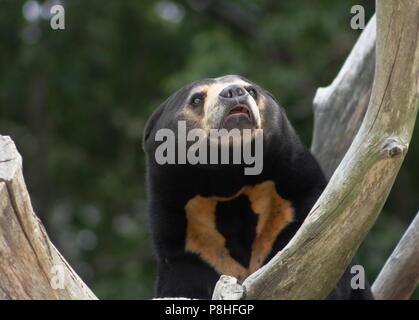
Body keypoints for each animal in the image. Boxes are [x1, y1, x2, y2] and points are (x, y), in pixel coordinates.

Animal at [142, 74, 374, 298]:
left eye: (251, 90)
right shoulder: (188, 242)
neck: (229, 182)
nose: (233, 91)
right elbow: (182, 283)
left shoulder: (294, 203)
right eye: (196, 99)